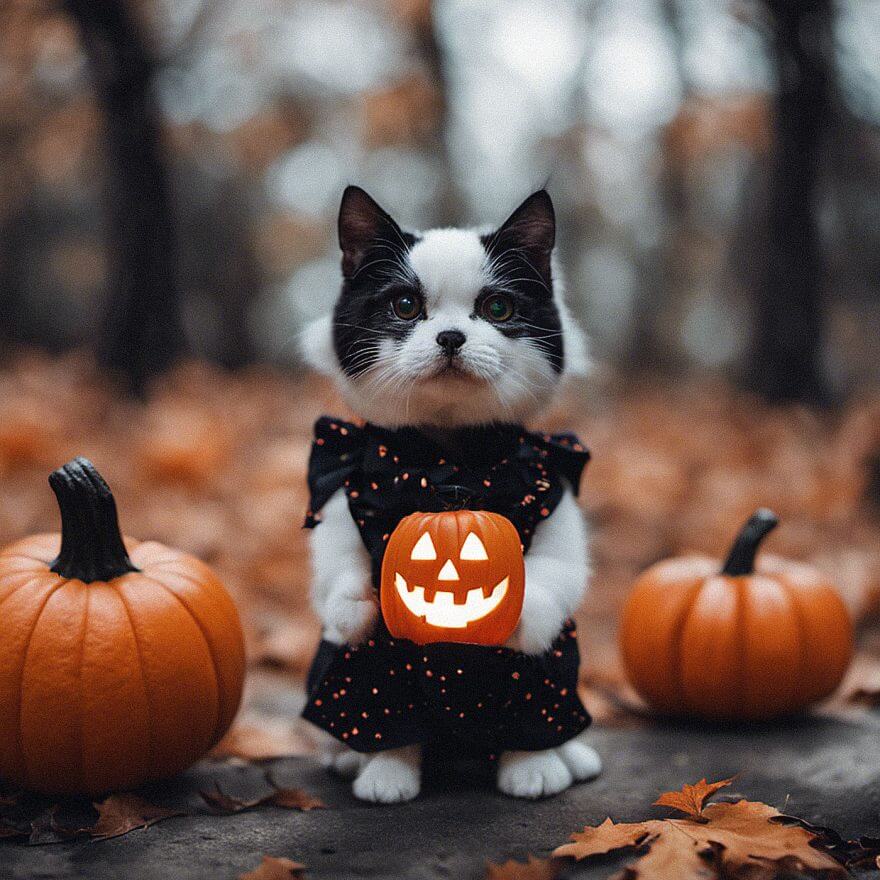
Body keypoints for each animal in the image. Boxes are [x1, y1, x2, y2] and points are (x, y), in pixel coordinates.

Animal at [300, 186, 600, 804]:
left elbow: (556, 576)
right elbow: (336, 572)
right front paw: (355, 608)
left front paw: (534, 768)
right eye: (405, 306)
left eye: (498, 310)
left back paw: (548, 763)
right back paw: (373, 769)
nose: (450, 337)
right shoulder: (341, 494)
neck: (448, 455)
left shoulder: (557, 501)